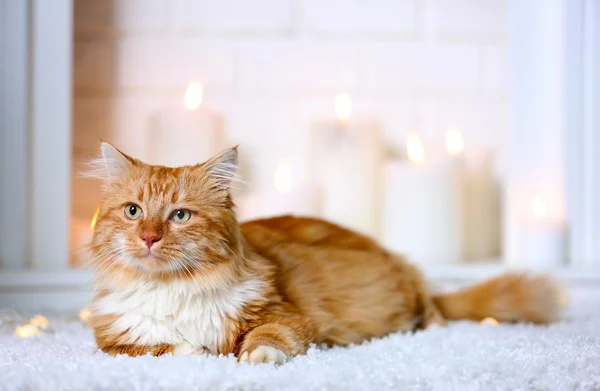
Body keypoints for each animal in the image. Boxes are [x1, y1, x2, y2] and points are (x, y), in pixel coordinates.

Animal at [86, 142, 564, 364]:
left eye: (180, 215)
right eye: (133, 211)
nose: (149, 238)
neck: (172, 289)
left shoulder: (286, 315)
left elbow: (266, 338)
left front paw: (253, 359)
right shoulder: (114, 343)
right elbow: (163, 348)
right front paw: (198, 353)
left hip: (408, 286)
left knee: (434, 312)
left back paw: (429, 330)